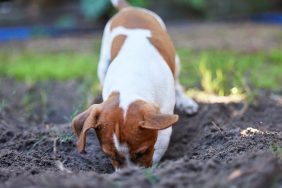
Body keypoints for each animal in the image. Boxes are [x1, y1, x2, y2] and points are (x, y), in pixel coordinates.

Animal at [71, 0, 197, 170]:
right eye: (110, 156)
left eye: (142, 152)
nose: (128, 174)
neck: (129, 81)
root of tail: (129, 9)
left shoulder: (164, 124)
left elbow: (158, 148)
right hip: (102, 64)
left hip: (176, 61)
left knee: (177, 82)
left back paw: (186, 101)